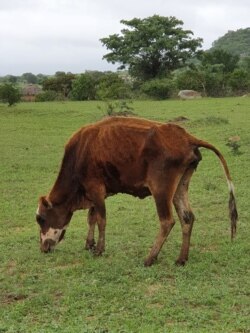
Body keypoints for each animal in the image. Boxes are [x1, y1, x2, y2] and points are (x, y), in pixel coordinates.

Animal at [35, 116, 238, 264]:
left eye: (41, 218)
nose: (43, 248)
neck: (80, 153)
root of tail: (186, 137)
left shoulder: (96, 190)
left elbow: (101, 220)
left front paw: (99, 249)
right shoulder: (95, 194)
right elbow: (91, 218)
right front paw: (89, 244)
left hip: (161, 190)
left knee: (167, 221)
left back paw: (150, 258)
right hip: (179, 187)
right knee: (187, 218)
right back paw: (181, 259)